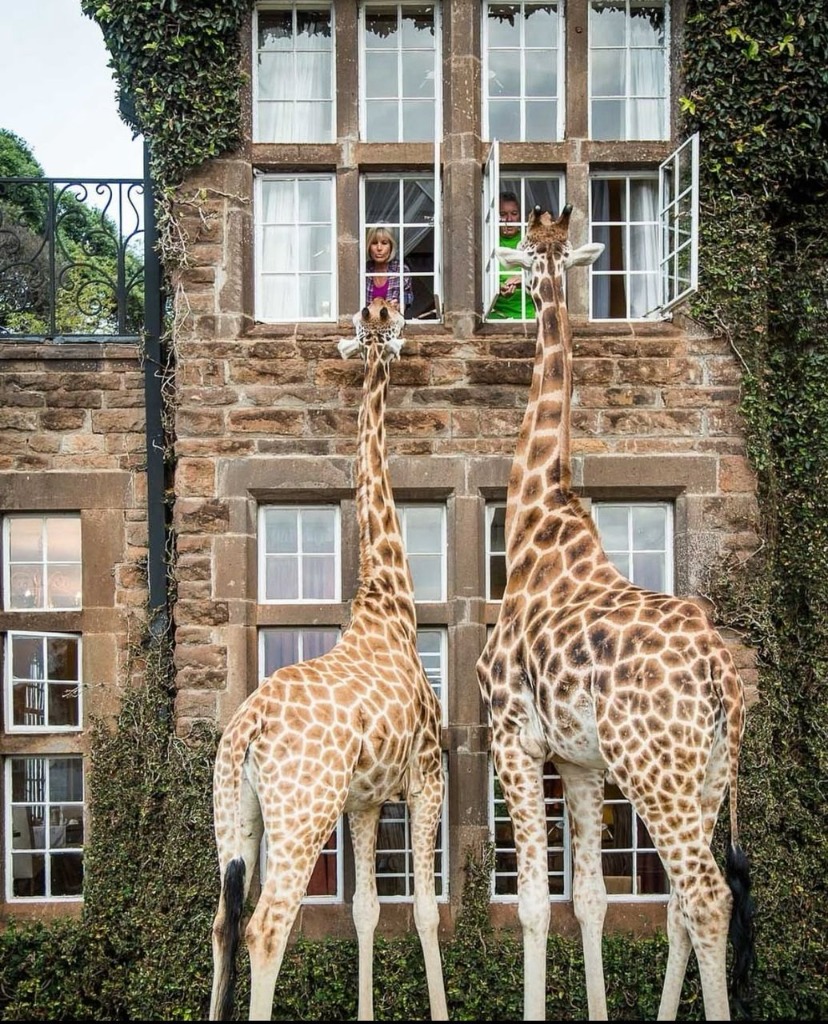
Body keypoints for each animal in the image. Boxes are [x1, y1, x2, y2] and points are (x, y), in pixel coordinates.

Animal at [209, 298, 448, 1022]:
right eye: (393, 323)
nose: (387, 316)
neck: (389, 607)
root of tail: (248, 728)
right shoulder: (428, 774)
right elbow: (424, 912)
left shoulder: (364, 801)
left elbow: (367, 911)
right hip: (301, 810)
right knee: (265, 927)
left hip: (235, 815)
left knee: (221, 923)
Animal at [476, 205, 755, 1021]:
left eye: (526, 251)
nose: (515, 286)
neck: (537, 521)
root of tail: (721, 674)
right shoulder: (578, 760)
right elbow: (590, 901)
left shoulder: (514, 738)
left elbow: (535, 904)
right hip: (705, 773)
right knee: (681, 907)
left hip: (655, 769)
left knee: (707, 896)